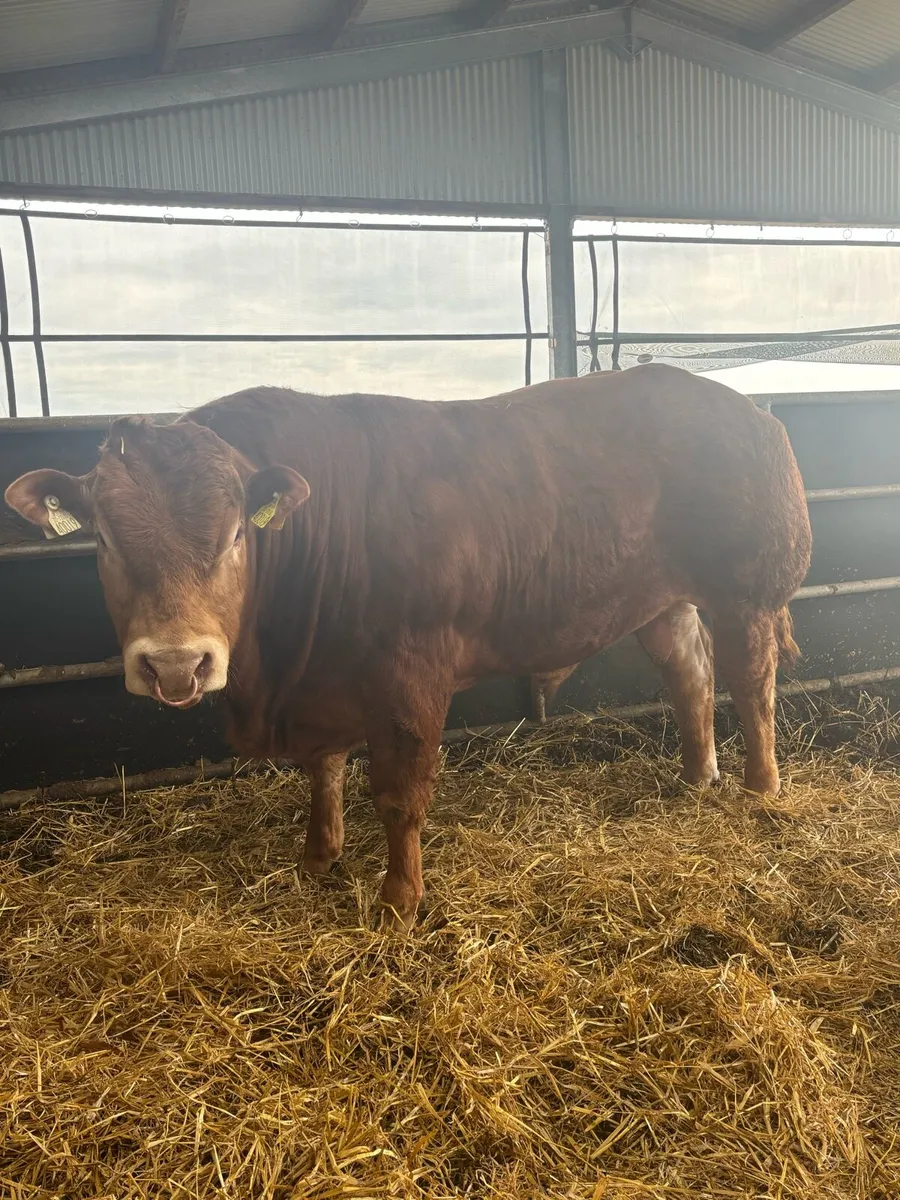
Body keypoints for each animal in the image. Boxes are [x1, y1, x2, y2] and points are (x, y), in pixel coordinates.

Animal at [5, 365, 811, 929]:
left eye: (236, 534)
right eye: (105, 539)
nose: (176, 662)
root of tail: (751, 411)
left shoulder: (410, 676)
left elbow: (399, 794)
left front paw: (398, 900)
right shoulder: (322, 682)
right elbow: (325, 771)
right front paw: (318, 855)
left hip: (748, 590)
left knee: (752, 681)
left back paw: (759, 788)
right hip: (663, 598)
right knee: (691, 674)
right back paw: (696, 777)